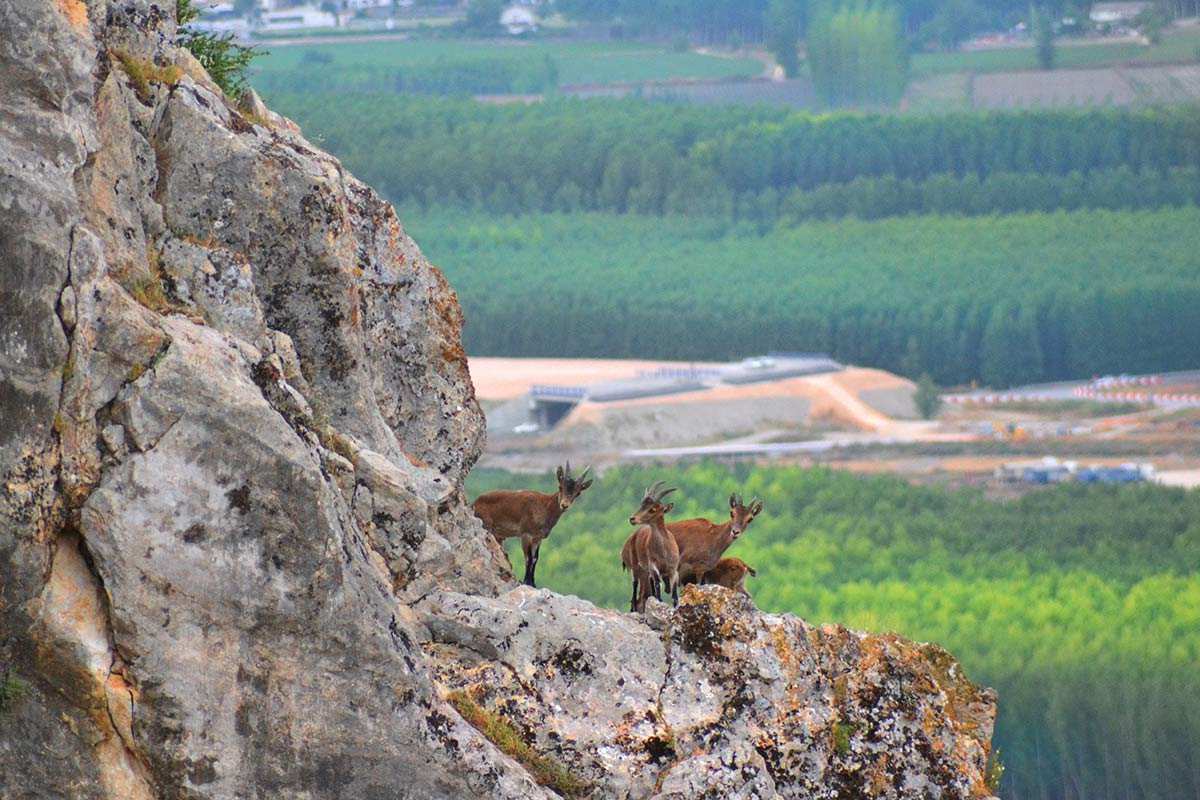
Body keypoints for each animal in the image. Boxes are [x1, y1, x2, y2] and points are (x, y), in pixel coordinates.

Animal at [620, 481, 680, 613]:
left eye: (653, 509)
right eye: (642, 505)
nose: (632, 519)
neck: (663, 551)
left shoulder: (673, 569)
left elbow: (674, 595)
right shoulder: (653, 566)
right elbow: (657, 586)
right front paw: (660, 603)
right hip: (635, 566)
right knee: (635, 586)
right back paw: (633, 609)